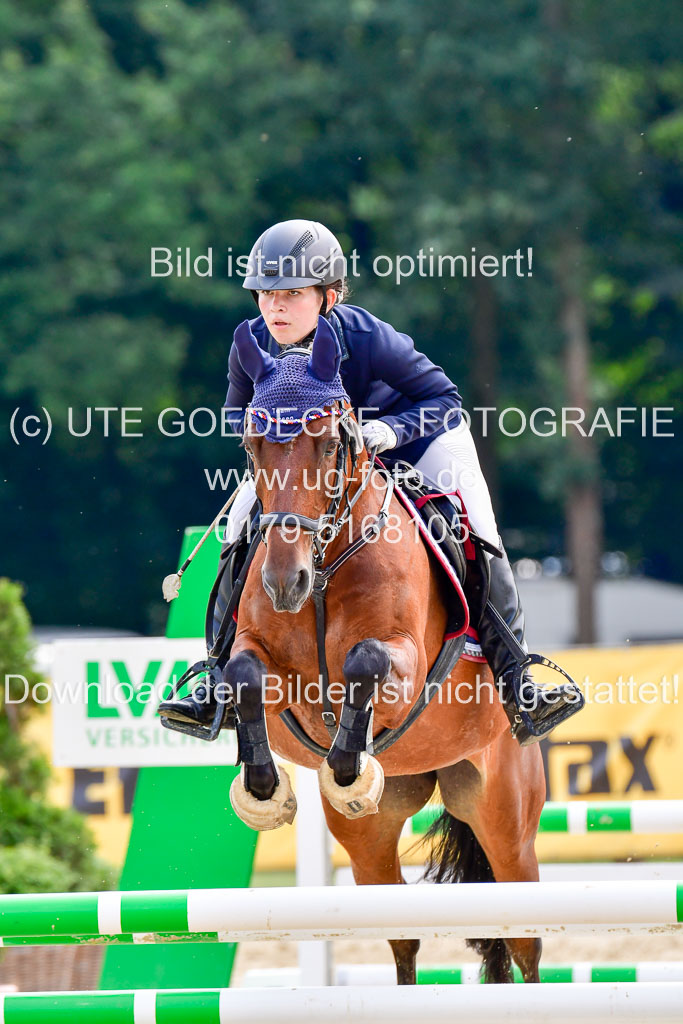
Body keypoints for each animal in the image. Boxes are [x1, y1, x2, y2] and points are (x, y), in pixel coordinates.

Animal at [222, 316, 546, 985]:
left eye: (329, 445)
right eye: (252, 447)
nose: (284, 584)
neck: (323, 570)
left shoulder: (405, 664)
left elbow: (364, 663)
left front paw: (348, 766)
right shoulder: (267, 663)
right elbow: (242, 673)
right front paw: (264, 789)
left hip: (508, 820)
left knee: (523, 939)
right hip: (371, 837)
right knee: (403, 935)